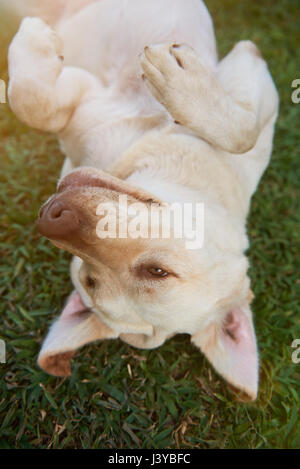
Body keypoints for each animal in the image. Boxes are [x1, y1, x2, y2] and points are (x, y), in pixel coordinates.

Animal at [6, 0, 278, 400]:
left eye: (157, 271)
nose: (55, 216)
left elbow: (36, 104)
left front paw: (34, 39)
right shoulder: (251, 66)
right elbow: (243, 132)